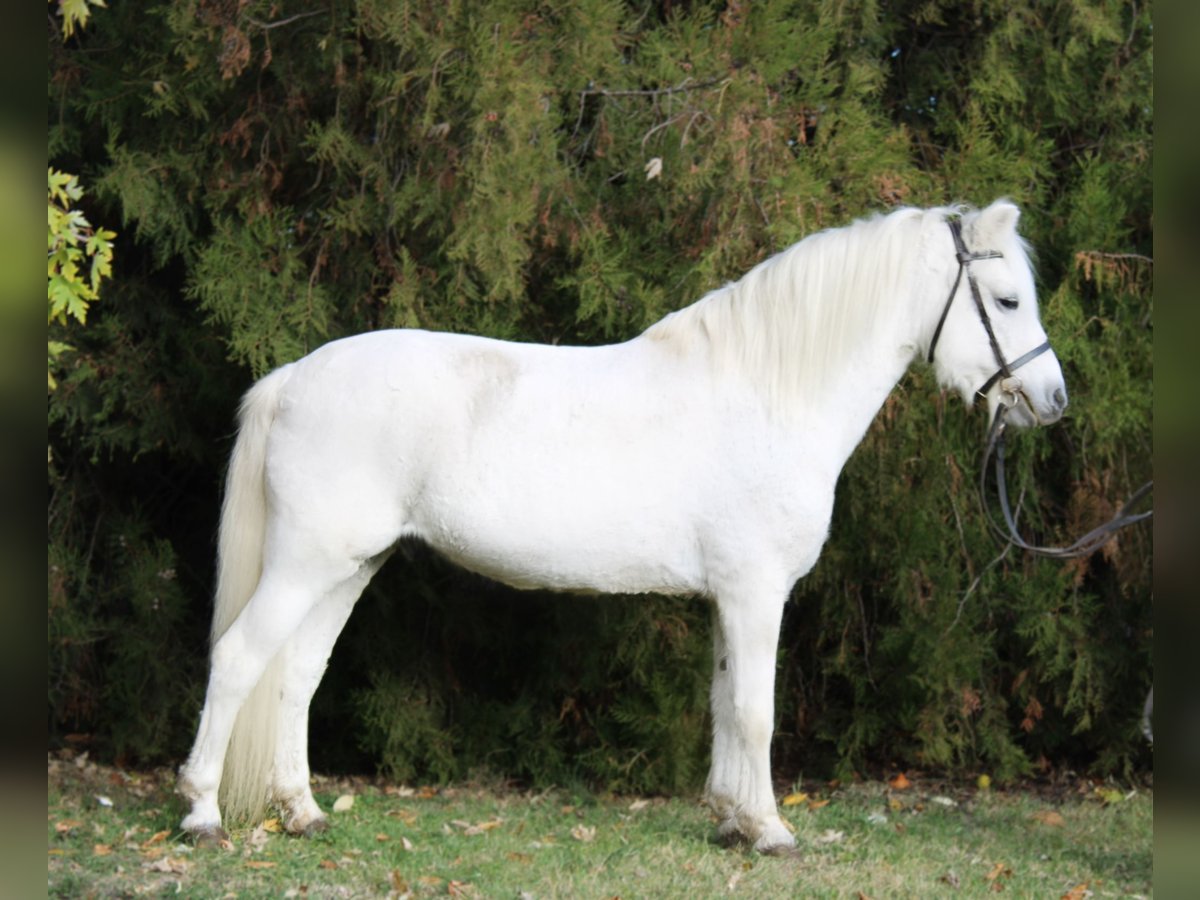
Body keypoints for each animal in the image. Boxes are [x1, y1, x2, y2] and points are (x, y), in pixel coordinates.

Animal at [178, 200, 1067, 854]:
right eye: (1008, 301)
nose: (1053, 400)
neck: (770, 389)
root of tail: (296, 376)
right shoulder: (756, 593)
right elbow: (756, 711)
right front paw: (772, 831)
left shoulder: (731, 597)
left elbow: (724, 705)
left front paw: (731, 820)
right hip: (305, 562)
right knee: (239, 660)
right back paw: (201, 815)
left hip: (350, 565)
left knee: (296, 676)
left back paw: (303, 812)